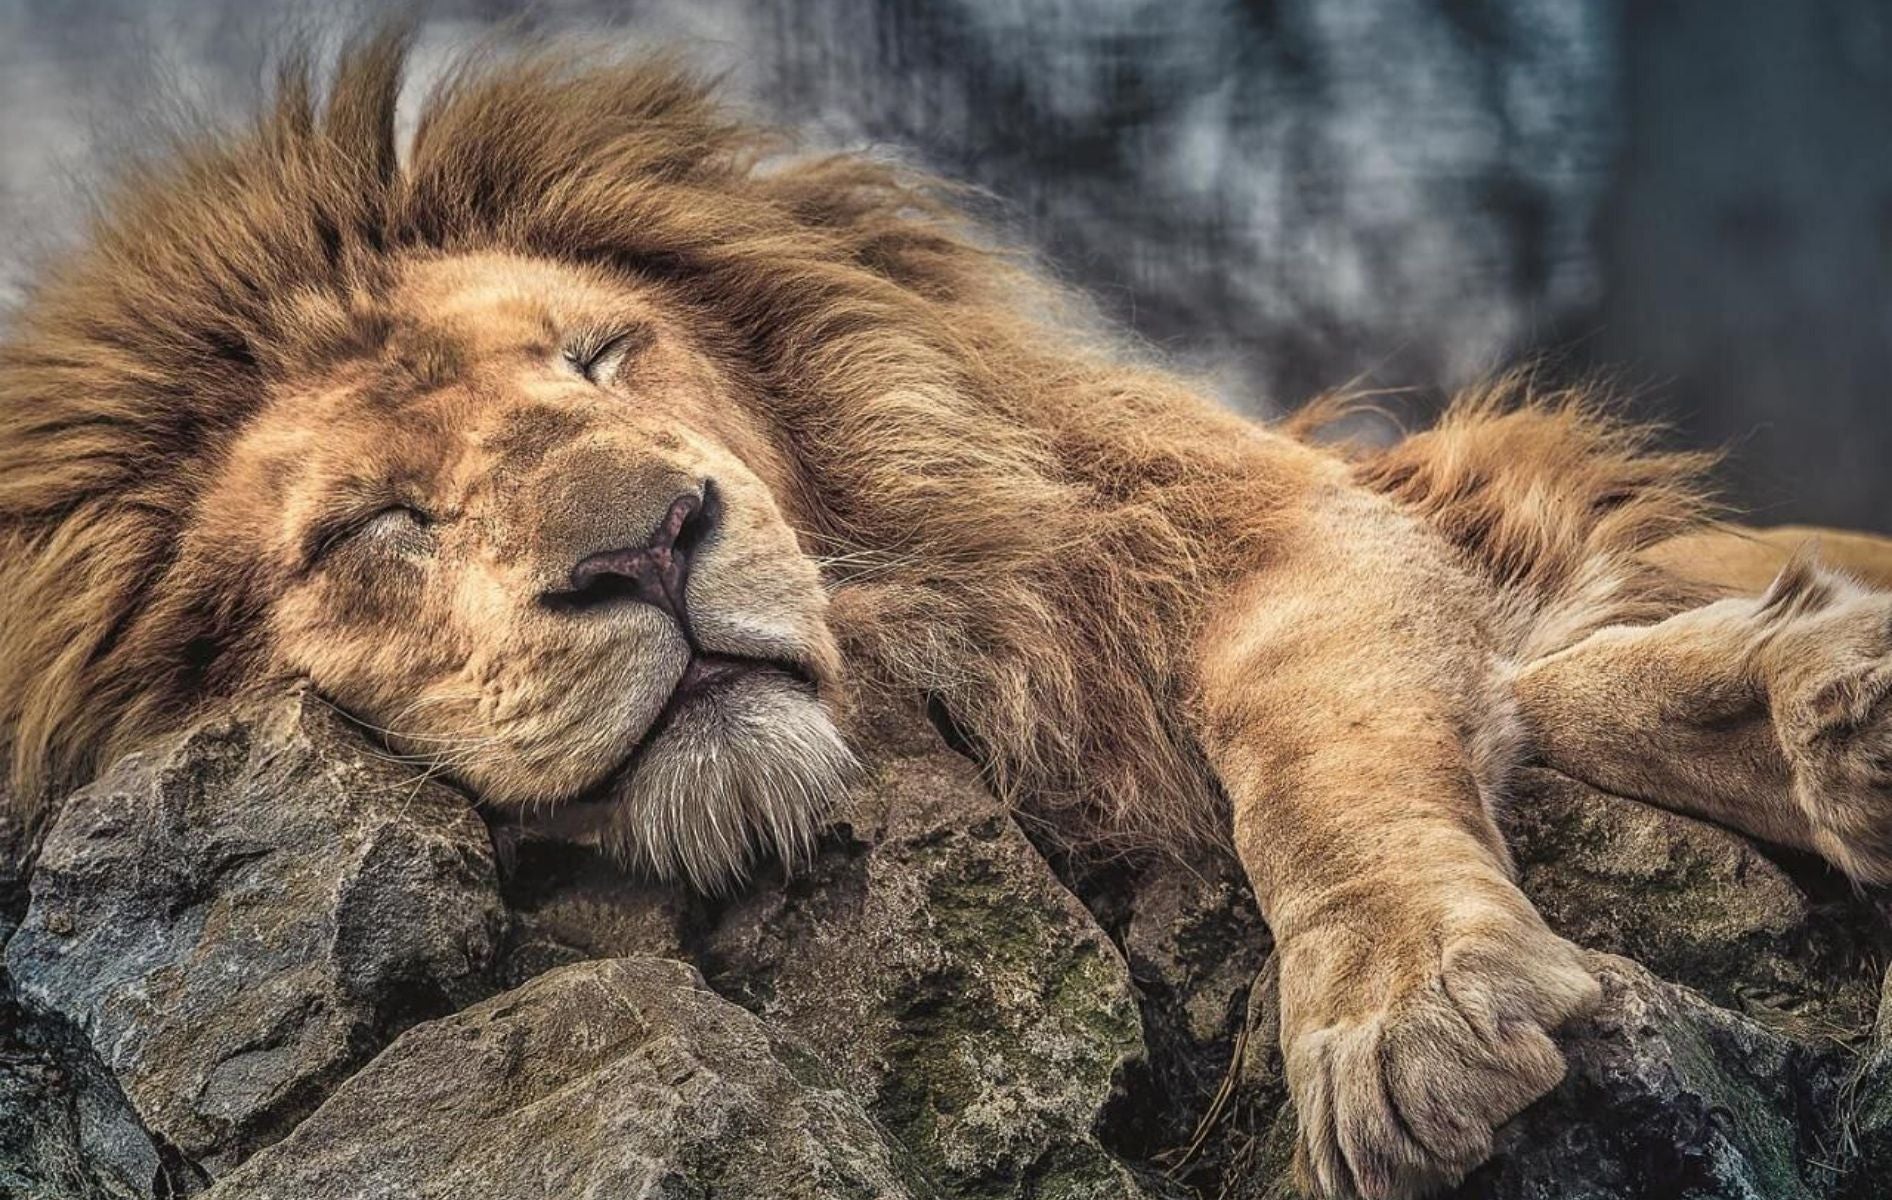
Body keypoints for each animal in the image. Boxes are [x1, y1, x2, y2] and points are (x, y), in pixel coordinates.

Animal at [3, 32, 1891, 1200]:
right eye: (375, 524)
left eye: (599, 357)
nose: (653, 545)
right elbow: (1551, 681)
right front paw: (1801, 701)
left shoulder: (1275, 524)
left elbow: (1317, 736)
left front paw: (1412, 1006)